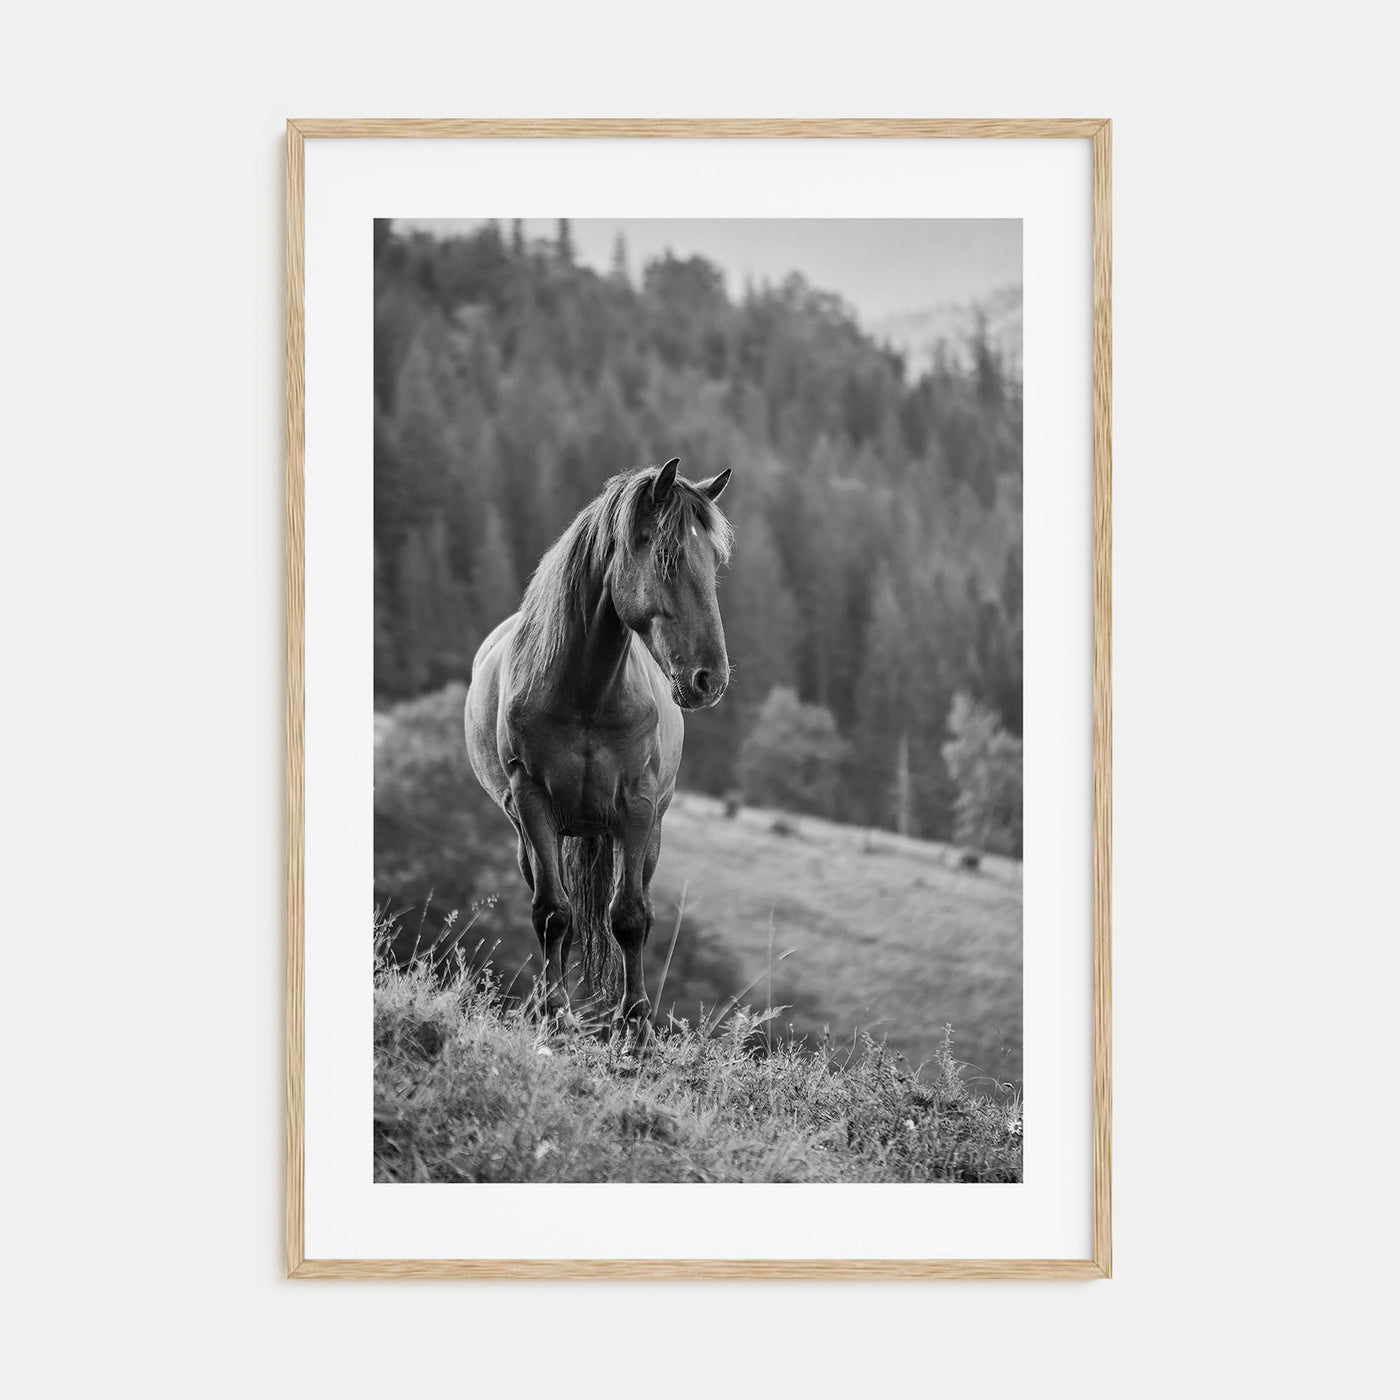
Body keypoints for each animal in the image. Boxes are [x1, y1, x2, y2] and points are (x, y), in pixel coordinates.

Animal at [464, 458, 734, 1053]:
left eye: (715, 562)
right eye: (669, 558)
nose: (710, 680)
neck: (585, 692)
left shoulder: (636, 808)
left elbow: (629, 917)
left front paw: (635, 1025)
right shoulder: (533, 801)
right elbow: (553, 913)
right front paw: (554, 1013)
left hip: (644, 834)